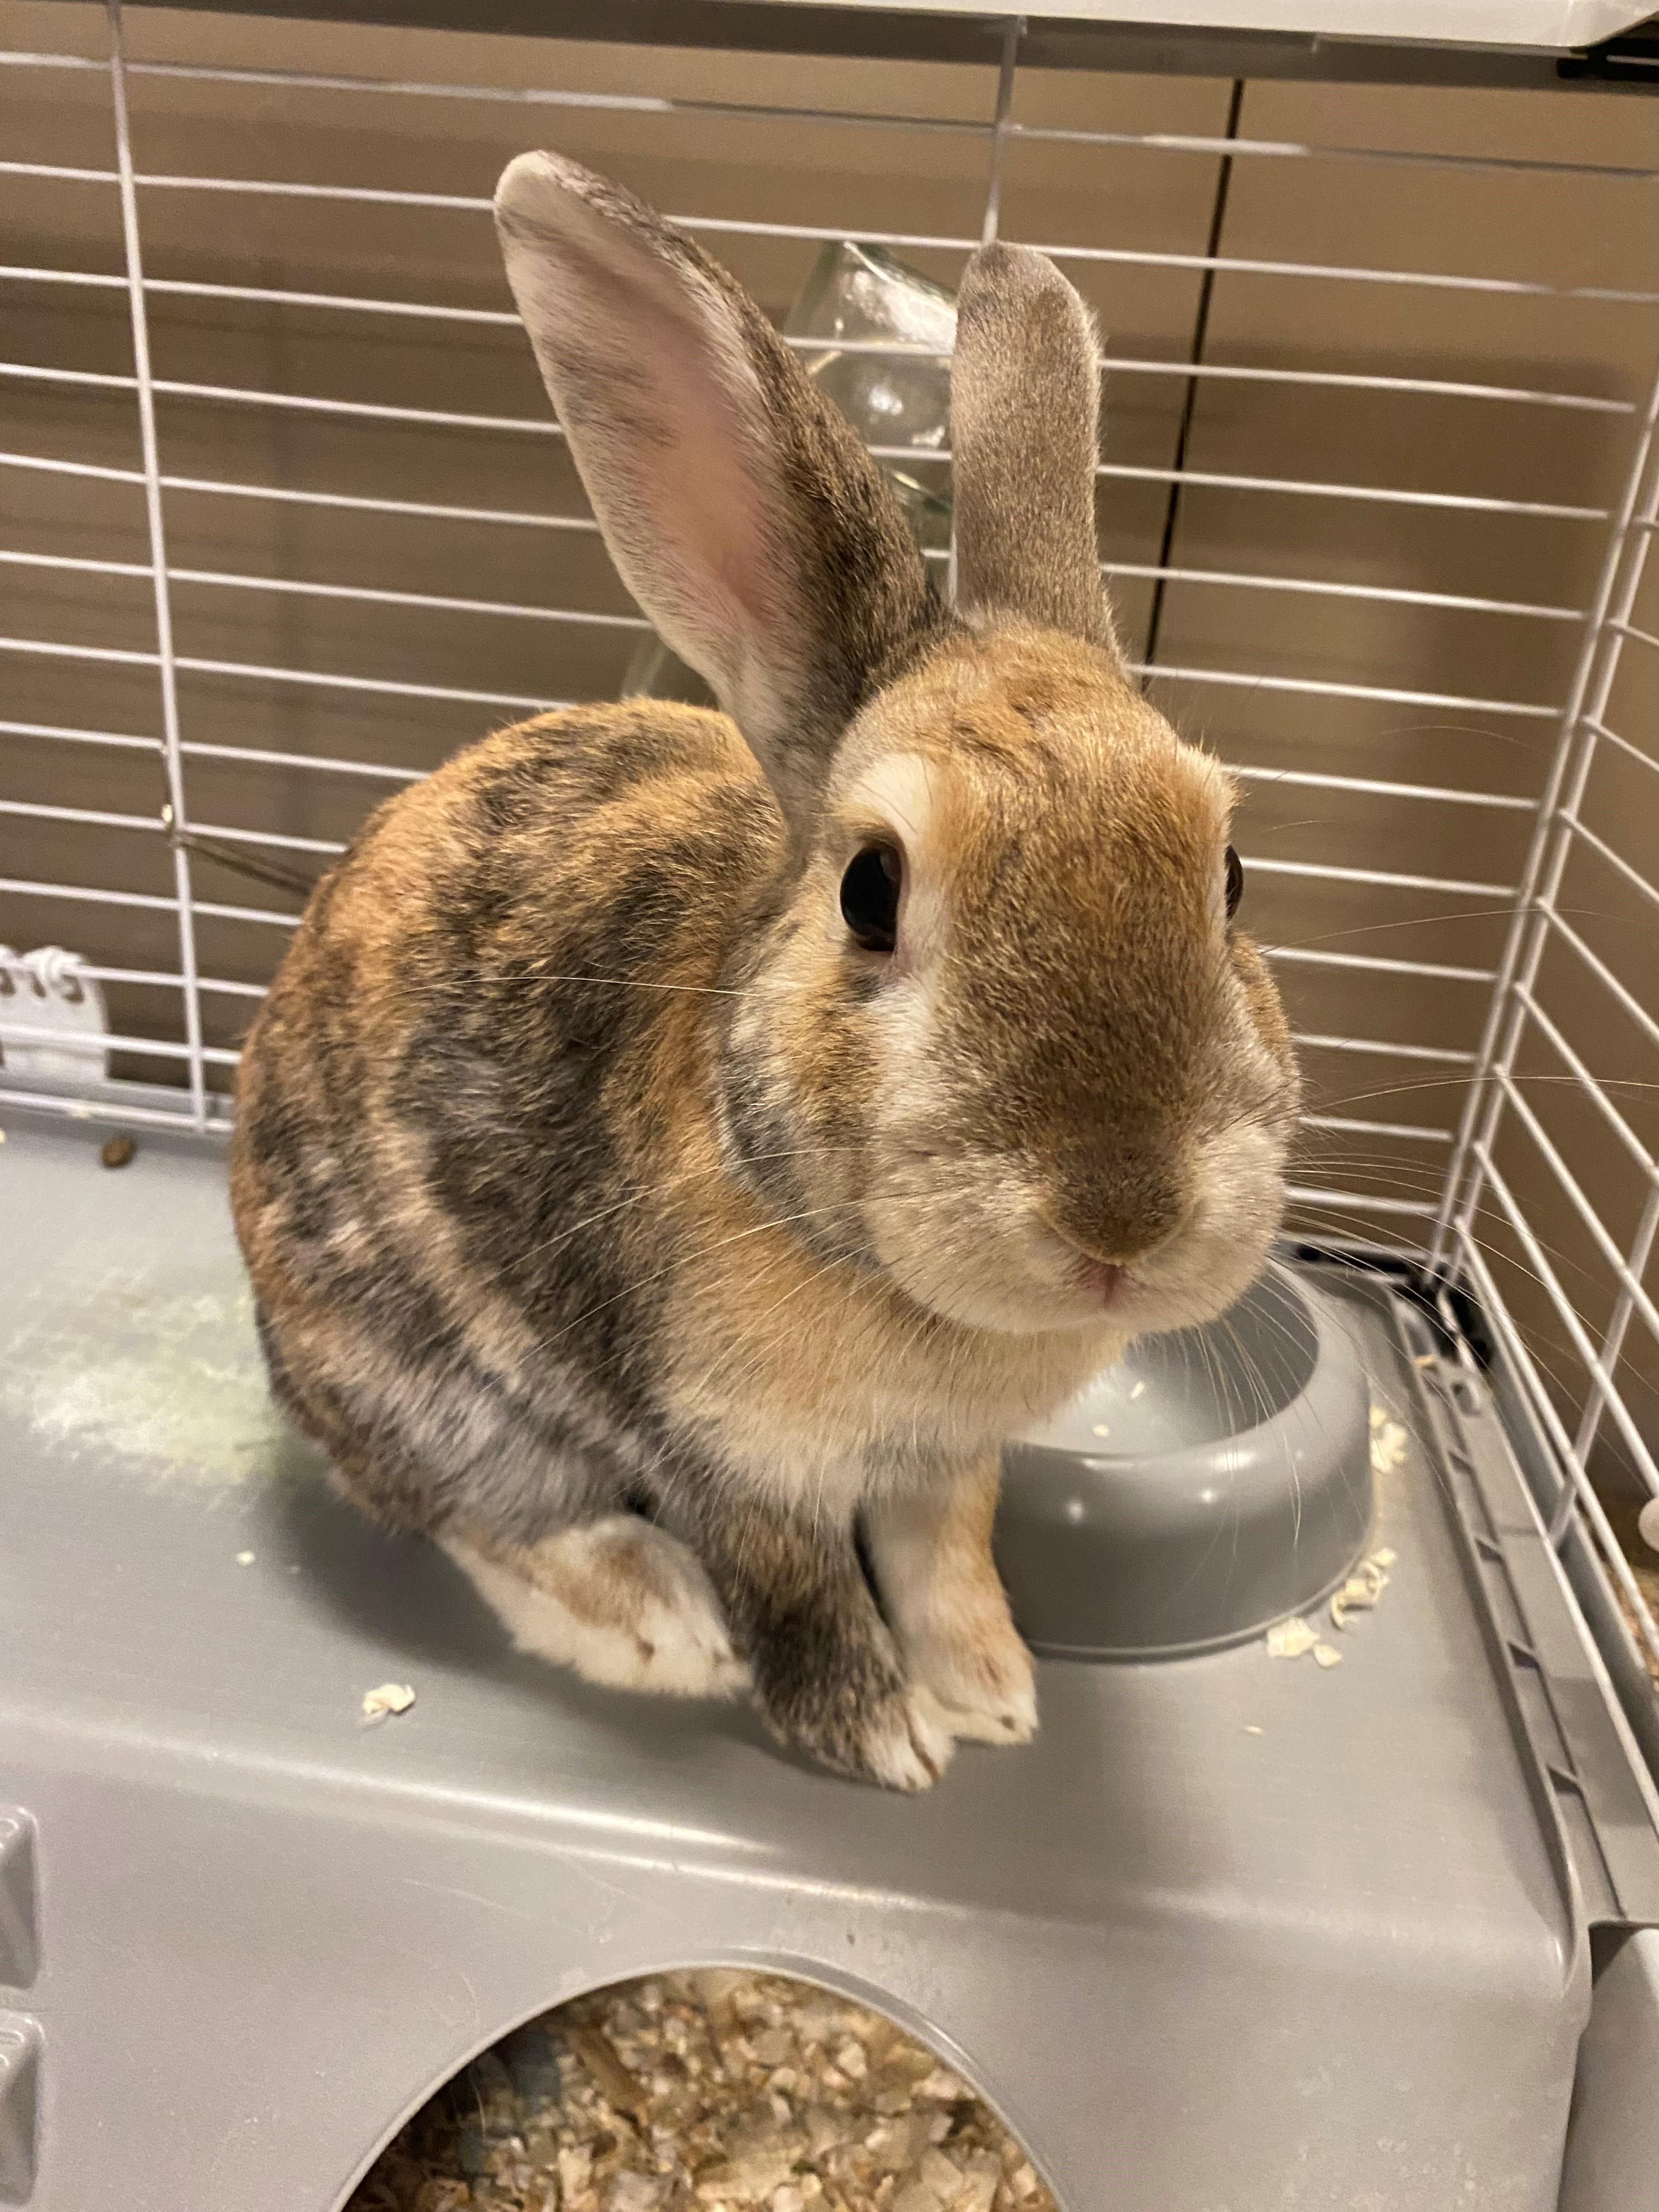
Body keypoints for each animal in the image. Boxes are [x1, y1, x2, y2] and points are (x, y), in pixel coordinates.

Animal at [229, 150, 1299, 1791]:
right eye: (870, 891)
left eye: (1230, 874)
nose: (1122, 1217)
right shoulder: (721, 1446)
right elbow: (794, 1583)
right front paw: (884, 1741)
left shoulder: (941, 1469)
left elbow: (944, 1558)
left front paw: (993, 1692)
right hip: (423, 1379)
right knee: (474, 1512)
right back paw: (656, 1624)